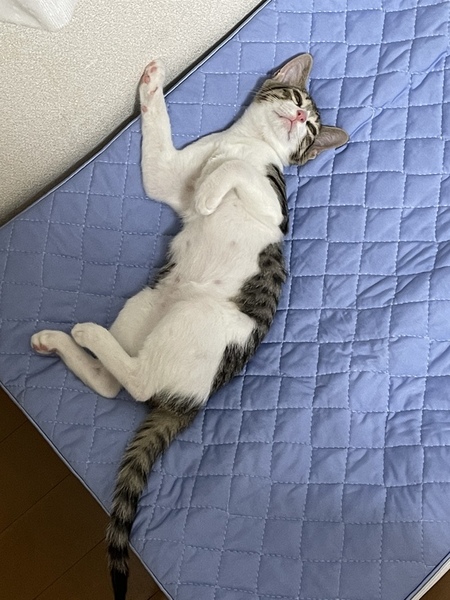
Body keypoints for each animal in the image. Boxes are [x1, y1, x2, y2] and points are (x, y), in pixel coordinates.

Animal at [30, 53, 348, 600]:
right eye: (296, 101)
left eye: (309, 130)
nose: (297, 119)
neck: (242, 142)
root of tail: (195, 397)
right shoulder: (169, 177)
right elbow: (163, 157)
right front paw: (151, 86)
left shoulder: (272, 207)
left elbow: (233, 173)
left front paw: (210, 192)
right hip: (146, 304)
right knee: (113, 383)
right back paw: (59, 342)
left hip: (195, 316)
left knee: (137, 384)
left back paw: (87, 334)